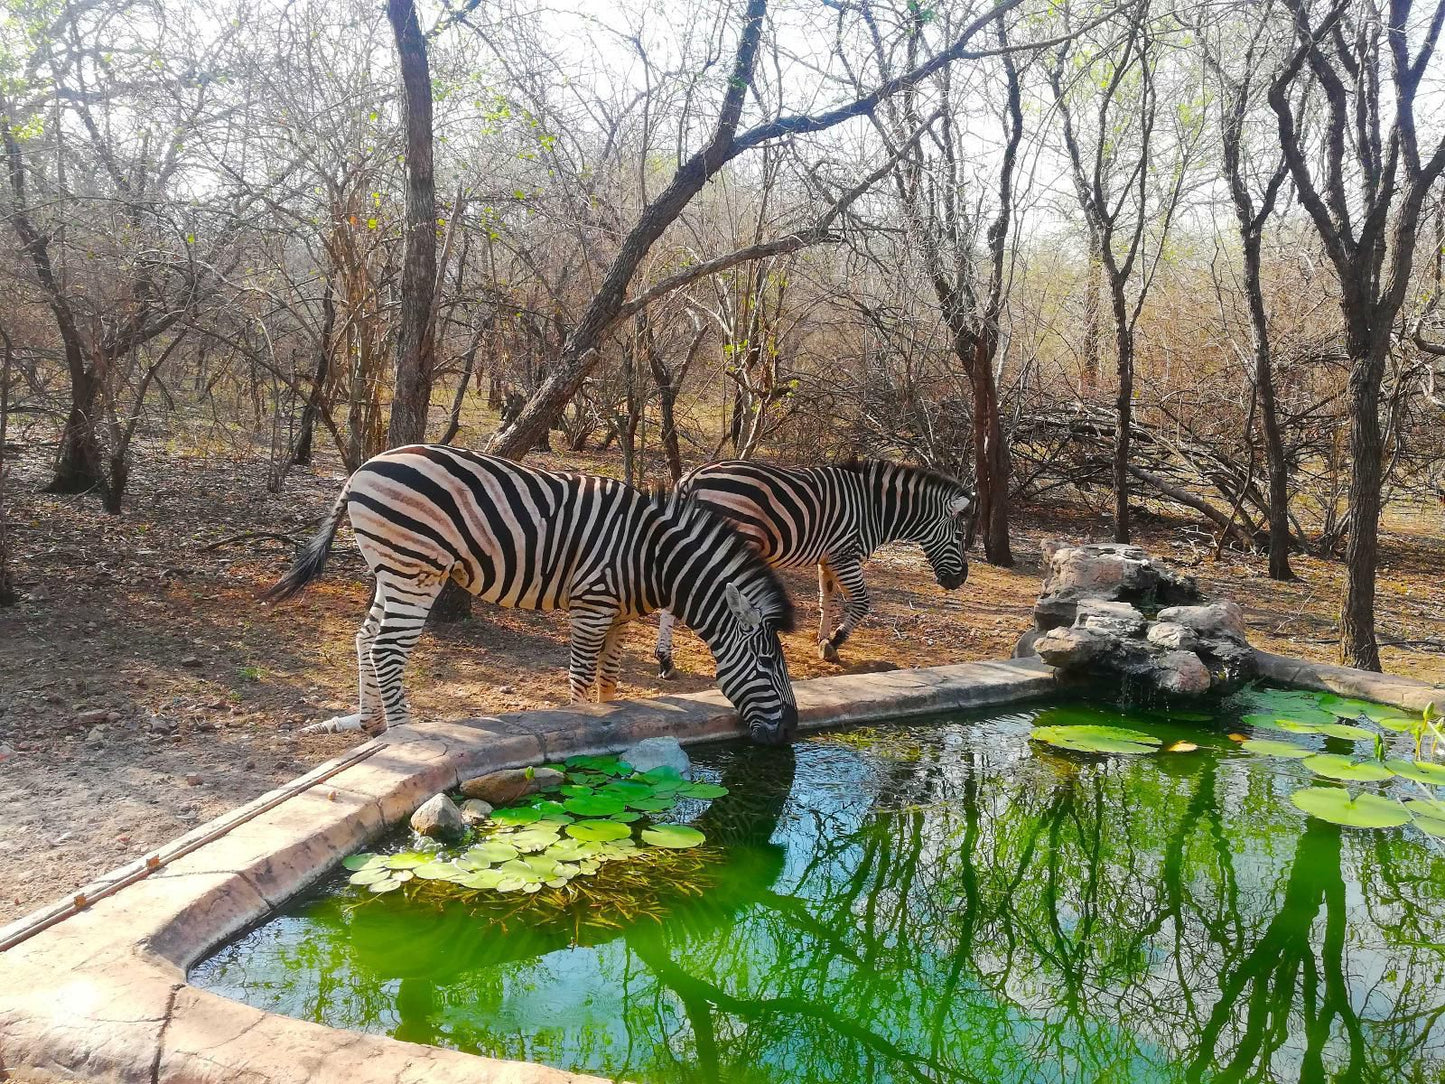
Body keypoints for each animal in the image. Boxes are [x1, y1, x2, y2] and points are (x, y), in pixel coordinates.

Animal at [264, 450, 797, 745]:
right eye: (768, 663)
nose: (790, 730)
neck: (652, 557)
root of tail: (362, 469)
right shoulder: (592, 604)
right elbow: (581, 680)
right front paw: (587, 729)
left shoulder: (619, 616)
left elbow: (608, 681)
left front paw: (618, 723)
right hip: (416, 568)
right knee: (387, 648)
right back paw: (399, 737)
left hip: (392, 571)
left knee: (364, 636)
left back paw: (367, 722)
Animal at [656, 459, 971, 679]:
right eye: (958, 536)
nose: (961, 579)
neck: (875, 510)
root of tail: (690, 478)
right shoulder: (845, 555)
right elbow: (862, 602)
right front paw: (834, 643)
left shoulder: (828, 558)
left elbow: (827, 600)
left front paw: (822, 639)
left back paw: (666, 662)